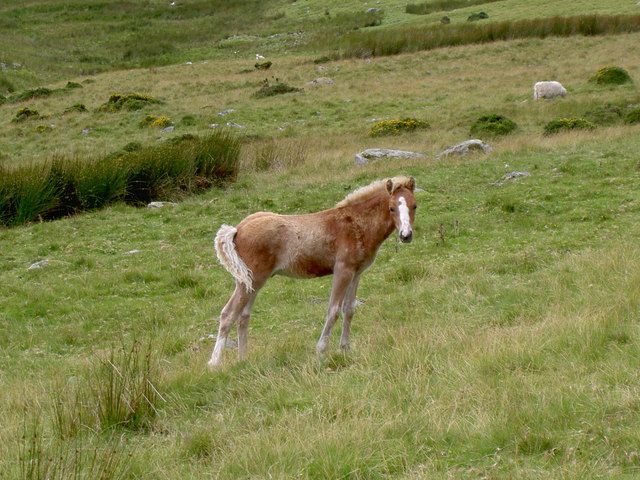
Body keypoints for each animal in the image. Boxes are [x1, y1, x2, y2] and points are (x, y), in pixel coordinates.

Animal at [208, 176, 418, 368]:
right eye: (391, 208)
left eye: (414, 206)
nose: (406, 235)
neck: (355, 224)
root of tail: (237, 229)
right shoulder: (343, 270)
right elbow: (333, 310)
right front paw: (321, 351)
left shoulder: (356, 273)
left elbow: (349, 310)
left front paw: (345, 349)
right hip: (250, 280)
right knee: (228, 314)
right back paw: (214, 364)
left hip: (253, 281)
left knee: (243, 316)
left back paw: (243, 360)